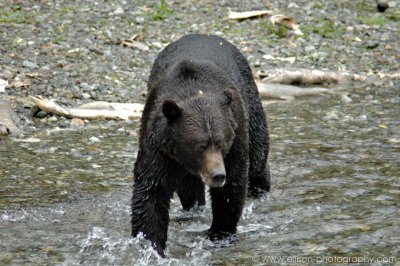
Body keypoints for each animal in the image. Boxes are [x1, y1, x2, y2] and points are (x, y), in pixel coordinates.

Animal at [131, 34, 268, 256]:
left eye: (221, 143)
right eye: (200, 145)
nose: (218, 174)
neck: (196, 92)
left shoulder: (235, 134)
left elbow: (232, 187)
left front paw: (220, 234)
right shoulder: (158, 143)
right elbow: (151, 189)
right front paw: (150, 245)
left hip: (250, 102)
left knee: (257, 158)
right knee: (189, 187)